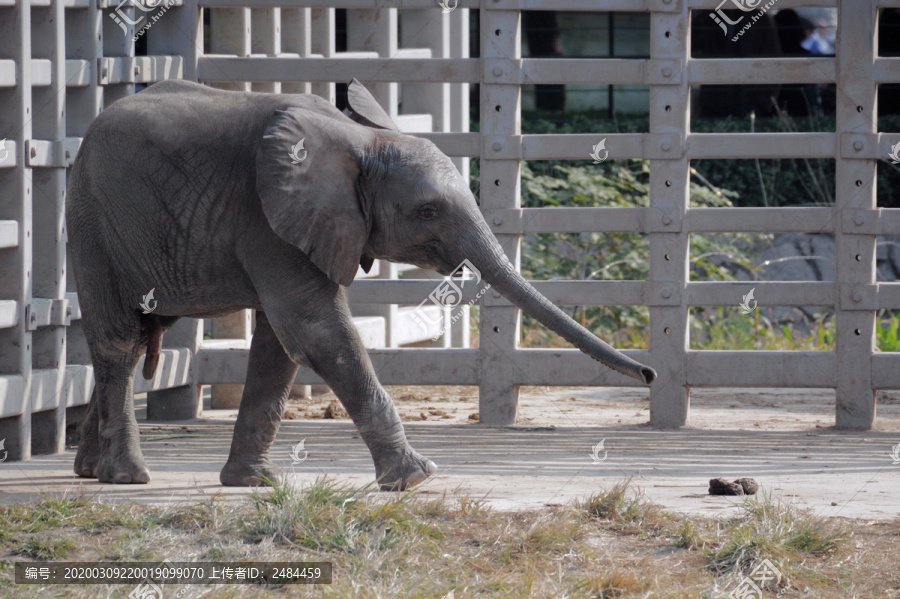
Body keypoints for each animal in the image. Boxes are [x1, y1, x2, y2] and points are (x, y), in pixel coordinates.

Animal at [65, 77, 652, 490]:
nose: (647, 373)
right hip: (93, 223)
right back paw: (127, 476)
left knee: (134, 335)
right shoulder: (266, 218)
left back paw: (89, 470)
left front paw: (255, 483)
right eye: (428, 211)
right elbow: (318, 333)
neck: (363, 141)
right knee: (119, 340)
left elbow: (280, 347)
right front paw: (416, 479)